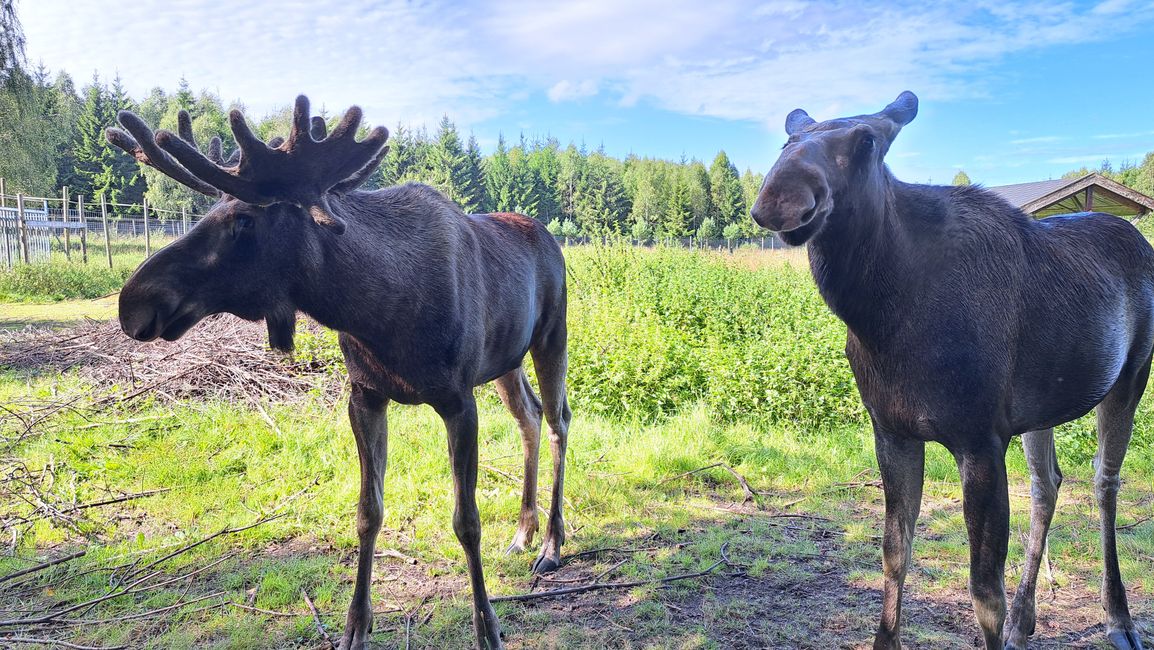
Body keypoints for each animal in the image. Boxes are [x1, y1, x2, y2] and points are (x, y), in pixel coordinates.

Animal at [109, 96, 572, 650]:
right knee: (530, 416)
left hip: (552, 334)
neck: (377, 311)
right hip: (505, 360)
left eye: (242, 220)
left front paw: (488, 629)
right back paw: (523, 532)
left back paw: (551, 545)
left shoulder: (458, 398)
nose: (133, 301)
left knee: (559, 421)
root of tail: (549, 236)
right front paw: (356, 624)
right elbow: (368, 511)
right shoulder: (365, 394)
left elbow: (467, 520)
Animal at [752, 92, 1149, 650]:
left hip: (1131, 375)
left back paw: (1119, 619)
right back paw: (1026, 619)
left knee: (1104, 480)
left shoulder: (980, 439)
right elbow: (894, 555)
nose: (780, 196)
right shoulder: (892, 431)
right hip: (1043, 406)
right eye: (788, 140)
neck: (882, 317)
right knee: (1047, 481)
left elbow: (984, 592)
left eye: (867, 140)